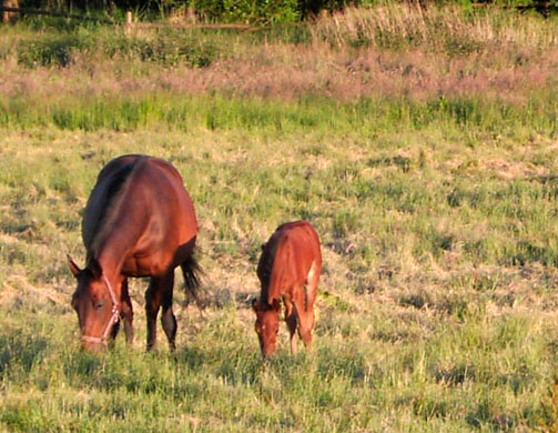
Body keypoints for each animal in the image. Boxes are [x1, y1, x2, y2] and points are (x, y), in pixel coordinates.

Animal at [68, 154, 202, 352]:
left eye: (99, 304)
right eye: (74, 305)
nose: (87, 349)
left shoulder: (163, 272)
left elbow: (158, 311)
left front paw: (157, 350)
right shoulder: (118, 273)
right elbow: (124, 309)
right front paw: (124, 347)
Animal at [254, 221, 324, 356]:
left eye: (276, 329)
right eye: (257, 329)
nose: (267, 355)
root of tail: (306, 224)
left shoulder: (297, 292)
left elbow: (303, 326)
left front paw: (310, 356)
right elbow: (291, 321)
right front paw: (293, 355)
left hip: (312, 279)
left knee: (310, 315)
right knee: (291, 319)